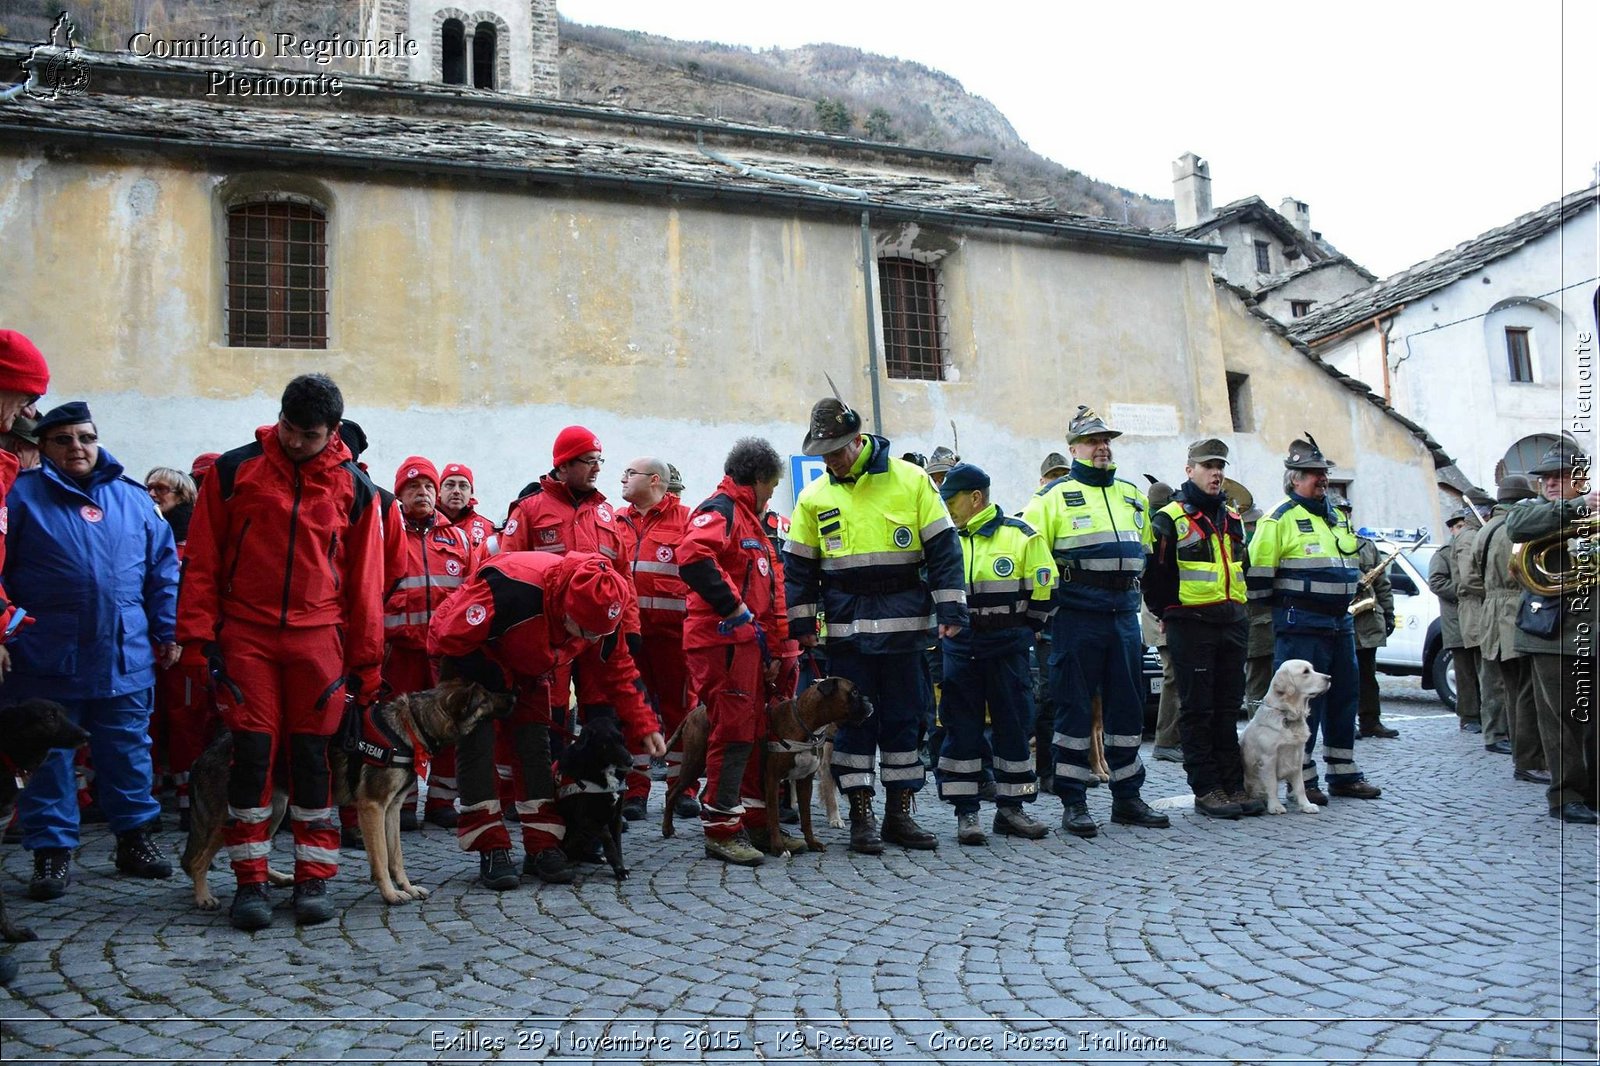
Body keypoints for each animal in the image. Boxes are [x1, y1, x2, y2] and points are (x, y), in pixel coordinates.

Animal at [186, 681, 512, 902]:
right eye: (486, 698)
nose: (514, 695)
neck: (412, 725)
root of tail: (205, 754)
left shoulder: (392, 811)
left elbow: (396, 857)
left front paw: (406, 887)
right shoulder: (372, 808)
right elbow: (380, 857)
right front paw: (391, 895)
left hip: (273, 811)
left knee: (251, 850)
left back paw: (278, 879)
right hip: (233, 817)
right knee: (197, 862)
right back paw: (203, 897)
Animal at [556, 713, 630, 877]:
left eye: (622, 739)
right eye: (607, 743)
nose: (631, 761)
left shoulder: (617, 817)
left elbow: (618, 843)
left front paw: (620, 867)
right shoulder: (585, 818)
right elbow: (607, 836)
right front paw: (616, 865)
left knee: (577, 851)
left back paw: (595, 857)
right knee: (570, 850)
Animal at [1241, 656, 1331, 813]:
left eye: (1312, 669)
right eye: (1305, 672)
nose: (1329, 677)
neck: (1287, 715)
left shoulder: (1298, 756)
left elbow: (1300, 786)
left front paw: (1306, 805)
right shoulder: (1268, 758)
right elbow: (1272, 785)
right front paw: (1275, 806)